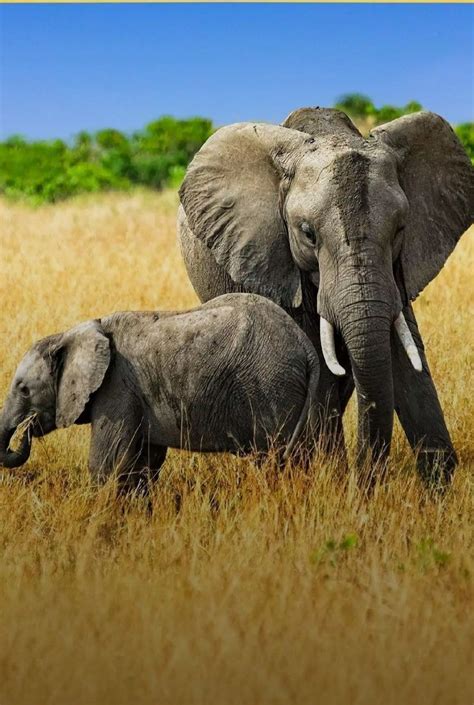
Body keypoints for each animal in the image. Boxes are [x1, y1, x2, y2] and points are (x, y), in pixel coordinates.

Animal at [0, 294, 320, 492]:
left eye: (24, 390)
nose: (26, 429)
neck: (72, 334)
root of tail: (305, 346)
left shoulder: (117, 388)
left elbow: (106, 464)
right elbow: (143, 464)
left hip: (271, 386)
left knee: (273, 457)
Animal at [177, 107, 470, 484]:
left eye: (400, 230)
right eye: (308, 234)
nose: (365, 480)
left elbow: (404, 353)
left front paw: (437, 485)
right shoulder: (277, 262)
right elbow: (318, 363)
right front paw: (326, 478)